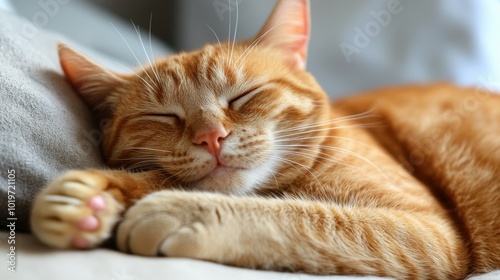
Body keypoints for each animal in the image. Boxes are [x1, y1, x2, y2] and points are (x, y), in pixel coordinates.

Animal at [29, 1, 498, 278]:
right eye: (162, 116)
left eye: (243, 96)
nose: (211, 137)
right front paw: (89, 200)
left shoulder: (428, 231)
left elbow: (302, 215)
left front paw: (180, 210)